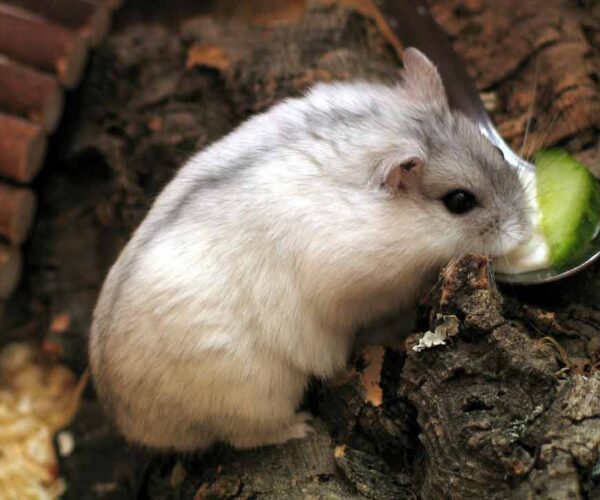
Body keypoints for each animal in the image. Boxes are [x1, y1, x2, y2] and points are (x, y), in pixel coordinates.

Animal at [88, 48, 528, 452]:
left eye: (497, 152)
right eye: (459, 201)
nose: (523, 231)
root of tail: (126, 420)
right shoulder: (362, 288)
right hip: (254, 394)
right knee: (245, 436)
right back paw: (302, 427)